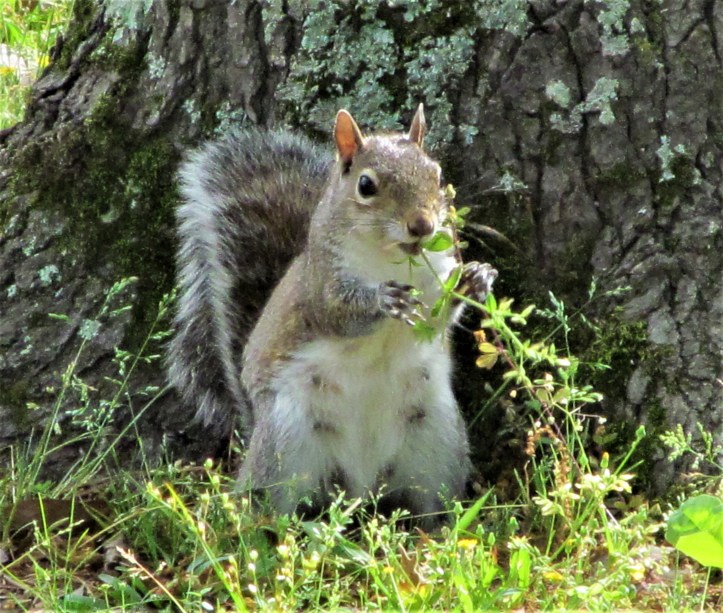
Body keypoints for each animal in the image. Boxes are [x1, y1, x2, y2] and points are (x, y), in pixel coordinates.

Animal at [168, 105, 498, 527]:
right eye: (366, 185)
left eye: (437, 175)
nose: (422, 225)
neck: (393, 258)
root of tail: (362, 485)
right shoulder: (321, 286)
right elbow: (336, 314)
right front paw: (381, 300)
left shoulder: (437, 275)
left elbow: (440, 319)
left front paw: (476, 280)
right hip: (287, 442)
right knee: (271, 504)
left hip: (437, 443)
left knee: (431, 505)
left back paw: (439, 528)